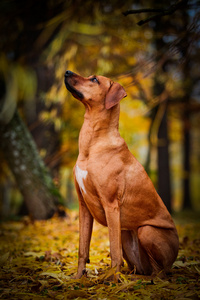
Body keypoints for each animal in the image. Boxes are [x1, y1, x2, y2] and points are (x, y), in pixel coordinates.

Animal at [63, 70, 178, 278]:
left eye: (94, 79)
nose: (67, 71)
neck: (92, 142)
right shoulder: (83, 206)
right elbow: (82, 248)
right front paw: (77, 277)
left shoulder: (111, 205)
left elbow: (113, 250)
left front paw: (112, 279)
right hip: (126, 233)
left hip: (146, 231)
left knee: (161, 269)